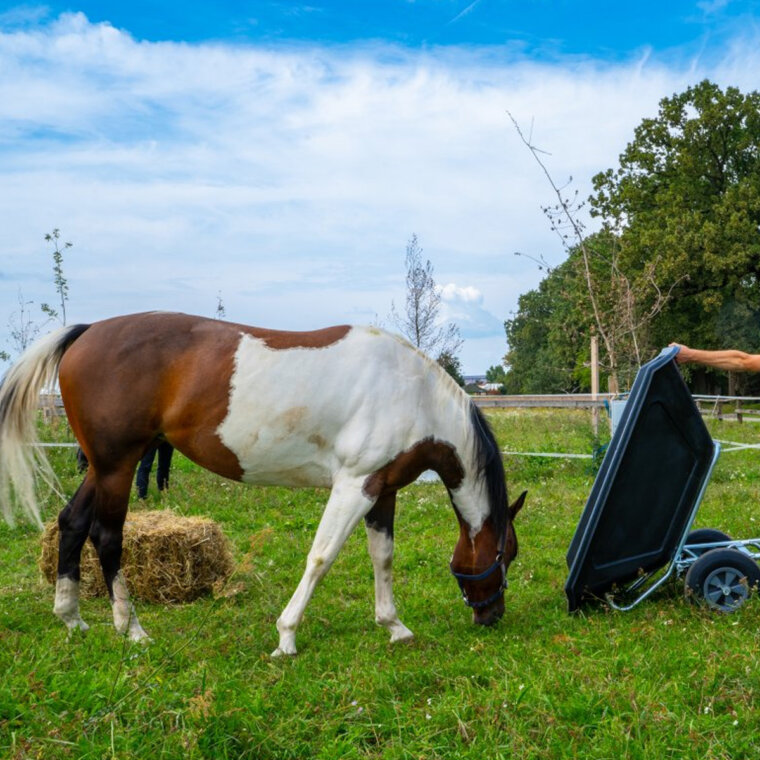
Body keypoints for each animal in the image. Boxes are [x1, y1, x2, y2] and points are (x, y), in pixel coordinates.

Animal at [0, 312, 524, 656]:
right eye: (509, 554)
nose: (492, 616)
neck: (410, 390)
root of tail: (88, 331)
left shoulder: (382, 488)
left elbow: (382, 557)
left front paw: (393, 625)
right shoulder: (353, 485)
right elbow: (321, 557)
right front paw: (287, 636)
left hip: (102, 466)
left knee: (71, 523)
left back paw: (72, 618)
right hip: (118, 466)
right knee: (106, 537)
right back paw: (131, 629)